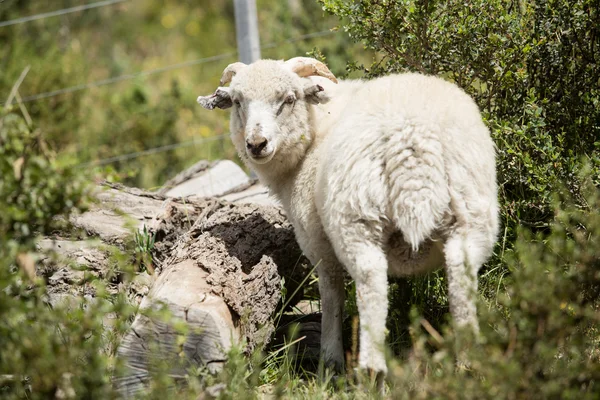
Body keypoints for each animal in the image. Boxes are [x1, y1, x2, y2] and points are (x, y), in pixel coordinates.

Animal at [196, 57, 496, 386]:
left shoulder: (316, 241)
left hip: (357, 218)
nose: (256, 144)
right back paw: (467, 365)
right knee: (461, 283)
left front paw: (330, 362)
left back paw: (372, 371)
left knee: (371, 284)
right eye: (238, 101)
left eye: (289, 99)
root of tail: (412, 140)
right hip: (471, 215)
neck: (315, 129)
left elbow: (331, 296)